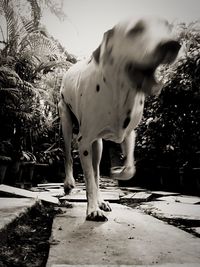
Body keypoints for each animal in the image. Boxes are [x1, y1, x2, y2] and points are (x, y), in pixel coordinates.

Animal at [58, 17, 180, 222]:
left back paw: (101, 200)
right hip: (66, 124)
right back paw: (69, 183)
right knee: (68, 156)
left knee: (96, 171)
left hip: (98, 146)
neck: (119, 91)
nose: (172, 44)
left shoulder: (129, 134)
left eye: (167, 27)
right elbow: (88, 179)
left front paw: (119, 174)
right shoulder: (83, 141)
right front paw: (92, 209)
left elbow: (128, 168)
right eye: (136, 30)